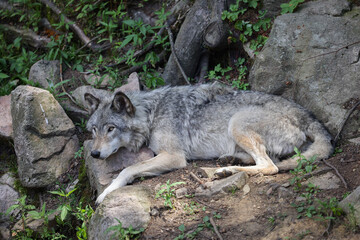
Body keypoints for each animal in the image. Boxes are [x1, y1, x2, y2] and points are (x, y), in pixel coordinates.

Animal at [84, 83, 332, 203]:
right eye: (94, 130)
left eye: (111, 128)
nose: (94, 154)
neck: (151, 114)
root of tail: (306, 114)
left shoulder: (174, 156)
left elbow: (128, 169)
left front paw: (106, 194)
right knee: (269, 160)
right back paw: (227, 162)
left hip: (236, 122)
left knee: (271, 166)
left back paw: (226, 169)